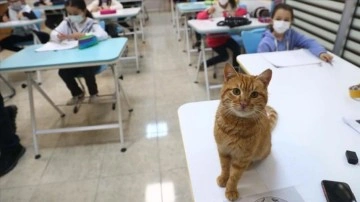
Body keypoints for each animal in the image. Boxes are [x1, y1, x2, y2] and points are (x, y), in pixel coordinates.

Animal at [214, 63, 278, 200]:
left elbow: (234, 176)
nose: (243, 103)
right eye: (236, 91)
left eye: (254, 94)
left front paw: (231, 190)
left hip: (261, 152)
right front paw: (223, 178)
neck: (235, 126)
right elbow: (225, 167)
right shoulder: (223, 150)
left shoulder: (242, 158)